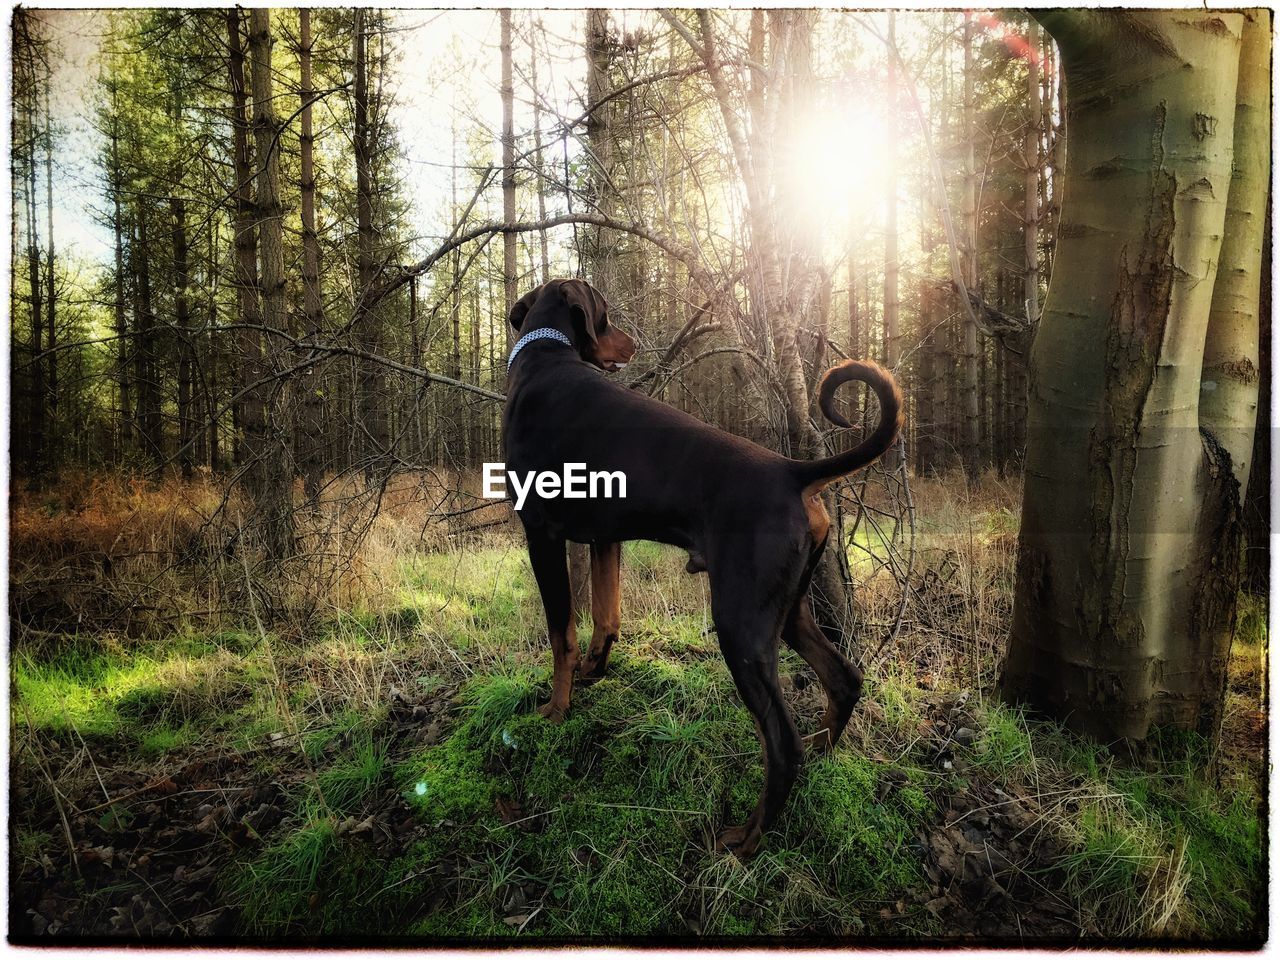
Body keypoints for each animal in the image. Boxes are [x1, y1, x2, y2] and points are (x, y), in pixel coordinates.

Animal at [499, 276, 901, 855]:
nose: (631, 346)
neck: (545, 355)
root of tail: (793, 472)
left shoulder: (541, 533)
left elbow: (561, 635)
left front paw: (555, 710)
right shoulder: (605, 536)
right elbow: (605, 616)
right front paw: (594, 672)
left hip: (740, 625)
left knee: (783, 746)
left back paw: (747, 839)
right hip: (786, 610)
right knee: (843, 681)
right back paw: (823, 753)